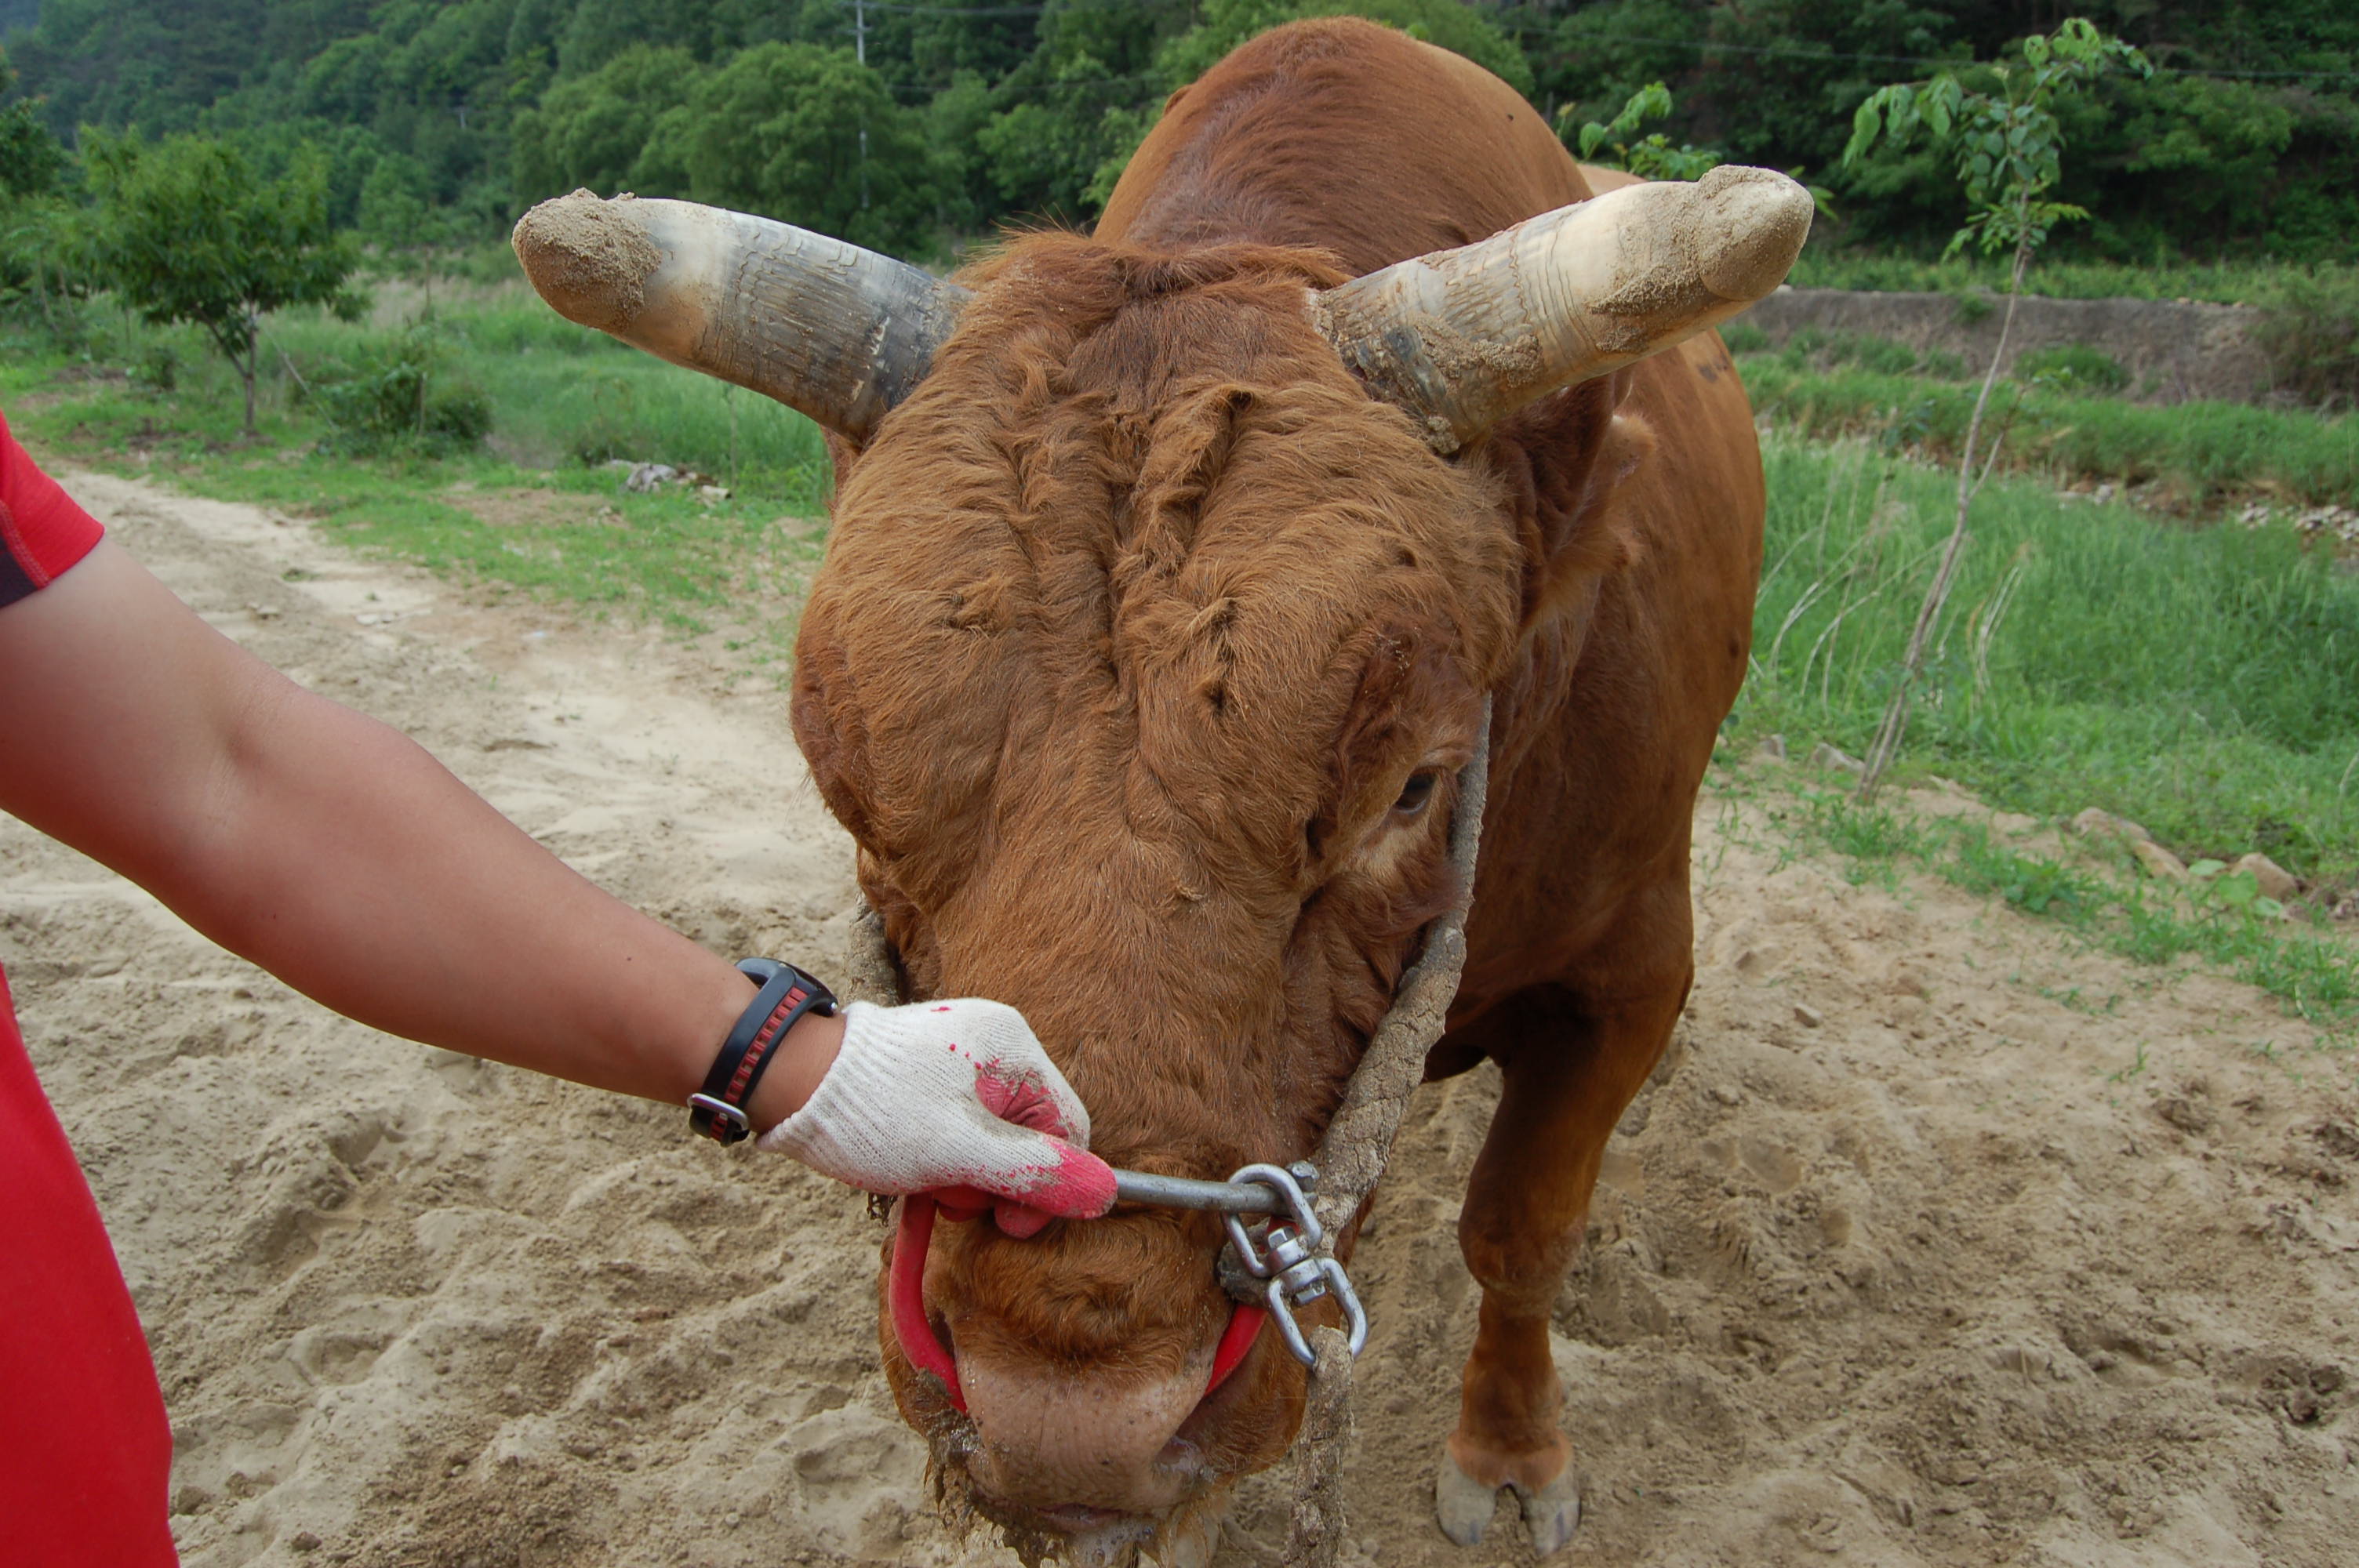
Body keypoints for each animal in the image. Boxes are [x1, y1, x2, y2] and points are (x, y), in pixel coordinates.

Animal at [516, 15, 1802, 1565]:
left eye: (1414, 786)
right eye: (847, 794)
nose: (1069, 1419)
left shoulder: (1629, 971)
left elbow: (1521, 1231)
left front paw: (1510, 1449)